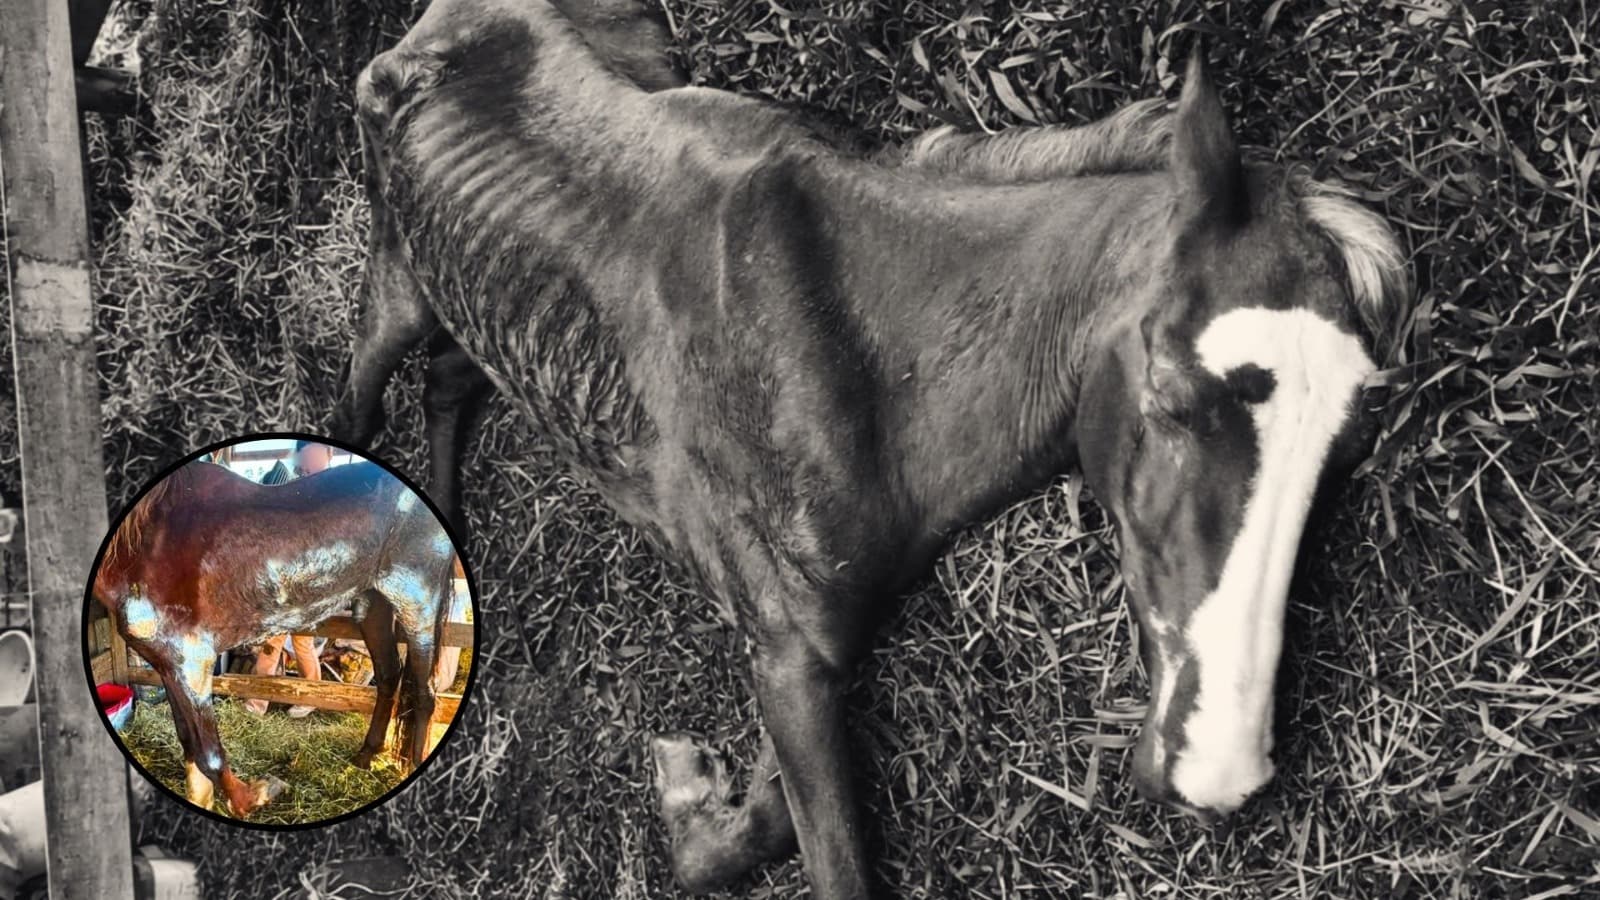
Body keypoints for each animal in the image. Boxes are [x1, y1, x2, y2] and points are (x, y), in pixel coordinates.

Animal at [92, 459, 455, 818]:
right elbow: (190, 747)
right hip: (374, 606)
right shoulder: (169, 667)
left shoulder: (192, 661)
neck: (146, 541)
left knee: (424, 695)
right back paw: (365, 756)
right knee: (389, 677)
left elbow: (210, 756)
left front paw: (256, 796)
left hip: (418, 605)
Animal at [328, 0, 1410, 894]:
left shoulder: (811, 643)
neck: (843, 348)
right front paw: (687, 790)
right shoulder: (787, 647)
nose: (1217, 767)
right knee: (360, 404)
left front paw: (696, 800)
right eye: (1173, 398)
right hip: (397, 280)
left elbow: (761, 826)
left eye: (1347, 446)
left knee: (454, 378)